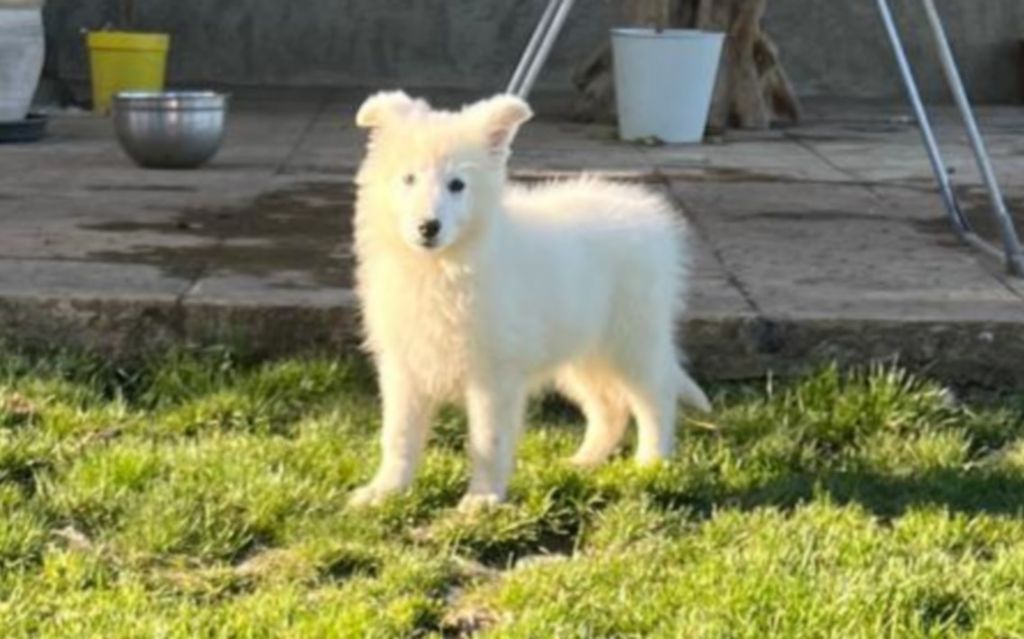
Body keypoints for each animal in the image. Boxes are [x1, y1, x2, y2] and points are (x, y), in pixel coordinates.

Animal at [348, 92, 708, 509]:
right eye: (408, 179)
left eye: (457, 185)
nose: (428, 227)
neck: (442, 267)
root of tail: (645, 211)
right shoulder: (404, 367)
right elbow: (398, 436)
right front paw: (384, 491)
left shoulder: (494, 373)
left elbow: (488, 440)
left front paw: (482, 500)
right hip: (581, 349)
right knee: (609, 406)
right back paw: (583, 462)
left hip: (631, 337)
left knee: (655, 397)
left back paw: (652, 463)